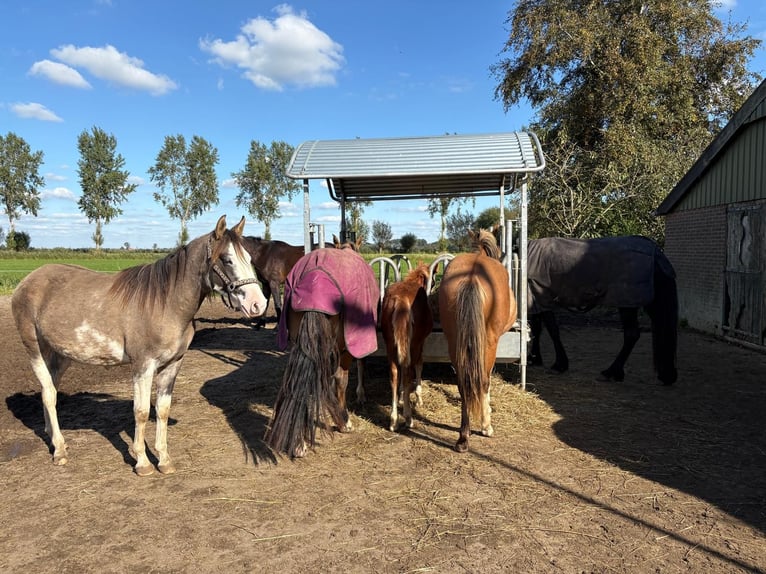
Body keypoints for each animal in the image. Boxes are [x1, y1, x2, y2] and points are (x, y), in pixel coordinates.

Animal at [9, 216, 270, 476]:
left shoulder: (172, 364)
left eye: (249, 259)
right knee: (49, 394)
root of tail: (26, 282)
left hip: (61, 355)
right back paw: (60, 451)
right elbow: (142, 412)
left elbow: (162, 410)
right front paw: (142, 462)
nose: (258, 304)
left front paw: (164, 460)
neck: (165, 304)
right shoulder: (143, 365)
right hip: (35, 350)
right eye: (226, 259)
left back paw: (54, 440)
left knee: (49, 391)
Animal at [380, 266, 436, 432]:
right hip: (413, 344)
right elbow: (419, 365)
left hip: (390, 345)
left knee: (394, 374)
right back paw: (408, 418)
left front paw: (400, 397)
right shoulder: (420, 343)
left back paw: (393, 420)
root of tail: (401, 300)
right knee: (407, 373)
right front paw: (418, 399)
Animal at [440, 230, 520, 454]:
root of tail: (472, 277)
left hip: (454, 341)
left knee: (463, 383)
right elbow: (488, 378)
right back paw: (486, 426)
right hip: (489, 341)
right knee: (482, 380)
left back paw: (463, 437)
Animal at [528, 234, 680, 388]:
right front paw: (534, 359)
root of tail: (654, 251)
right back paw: (666, 375)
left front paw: (559, 365)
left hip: (627, 303)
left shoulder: (542, 299)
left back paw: (611, 372)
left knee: (632, 335)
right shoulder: (536, 302)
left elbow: (552, 330)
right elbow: (536, 329)